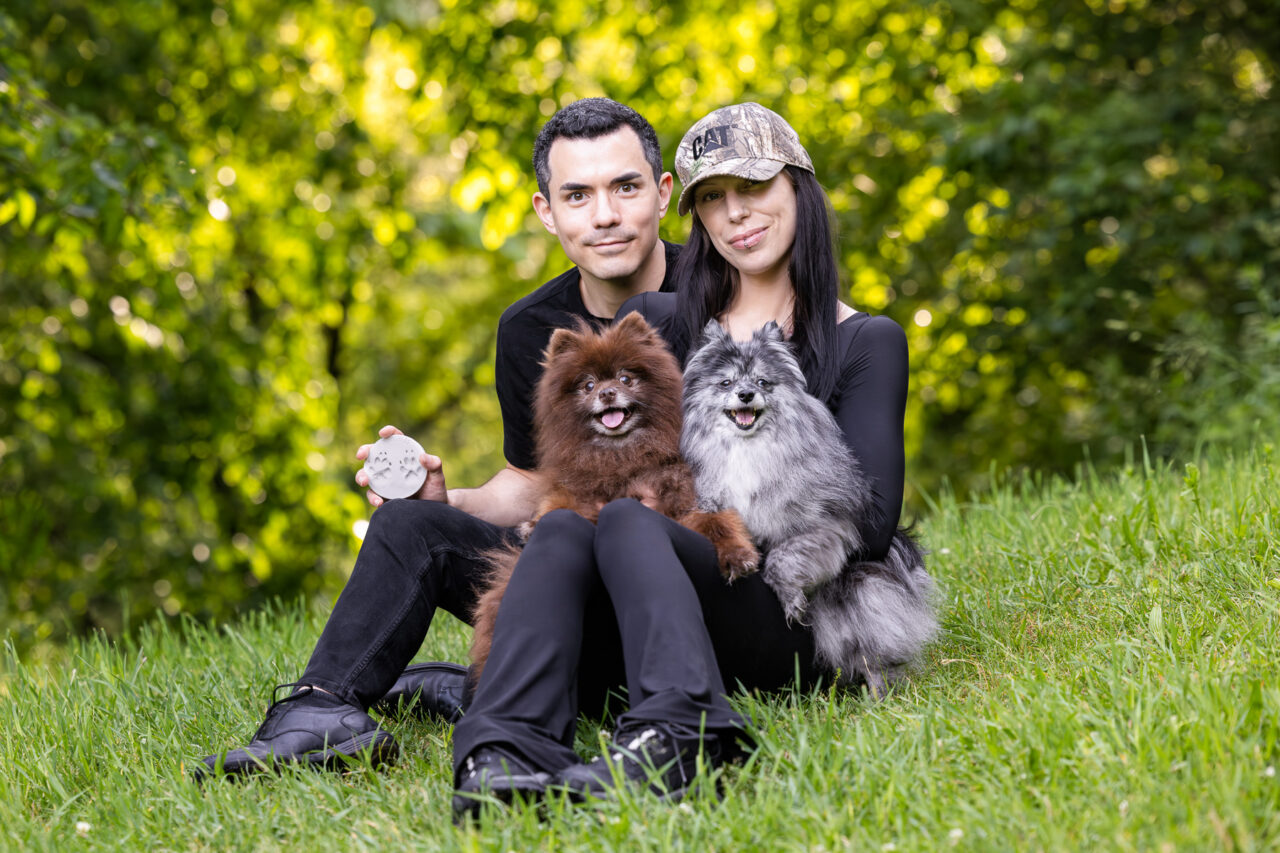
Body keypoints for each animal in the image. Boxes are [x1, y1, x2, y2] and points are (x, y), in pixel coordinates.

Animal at [473, 313, 757, 686]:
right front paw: (534, 525)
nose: (608, 392)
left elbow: (717, 522)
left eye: (625, 378)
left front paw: (737, 555)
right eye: (588, 385)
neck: (622, 456)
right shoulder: (577, 491)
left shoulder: (688, 499)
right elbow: (558, 507)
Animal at [680, 318, 942, 696]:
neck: (747, 449)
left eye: (763, 382)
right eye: (725, 383)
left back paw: (879, 695)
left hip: (863, 589)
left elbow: (783, 558)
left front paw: (790, 597)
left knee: (872, 649)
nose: (745, 395)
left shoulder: (825, 524)